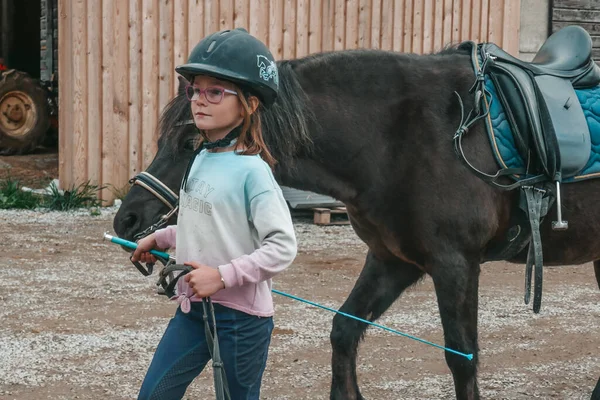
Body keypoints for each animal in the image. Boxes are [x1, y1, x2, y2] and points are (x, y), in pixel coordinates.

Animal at [113, 35, 600, 400]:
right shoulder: (392, 260)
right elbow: (344, 330)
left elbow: (462, 358)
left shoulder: (455, 264)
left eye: (191, 140)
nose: (128, 220)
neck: (403, 136)